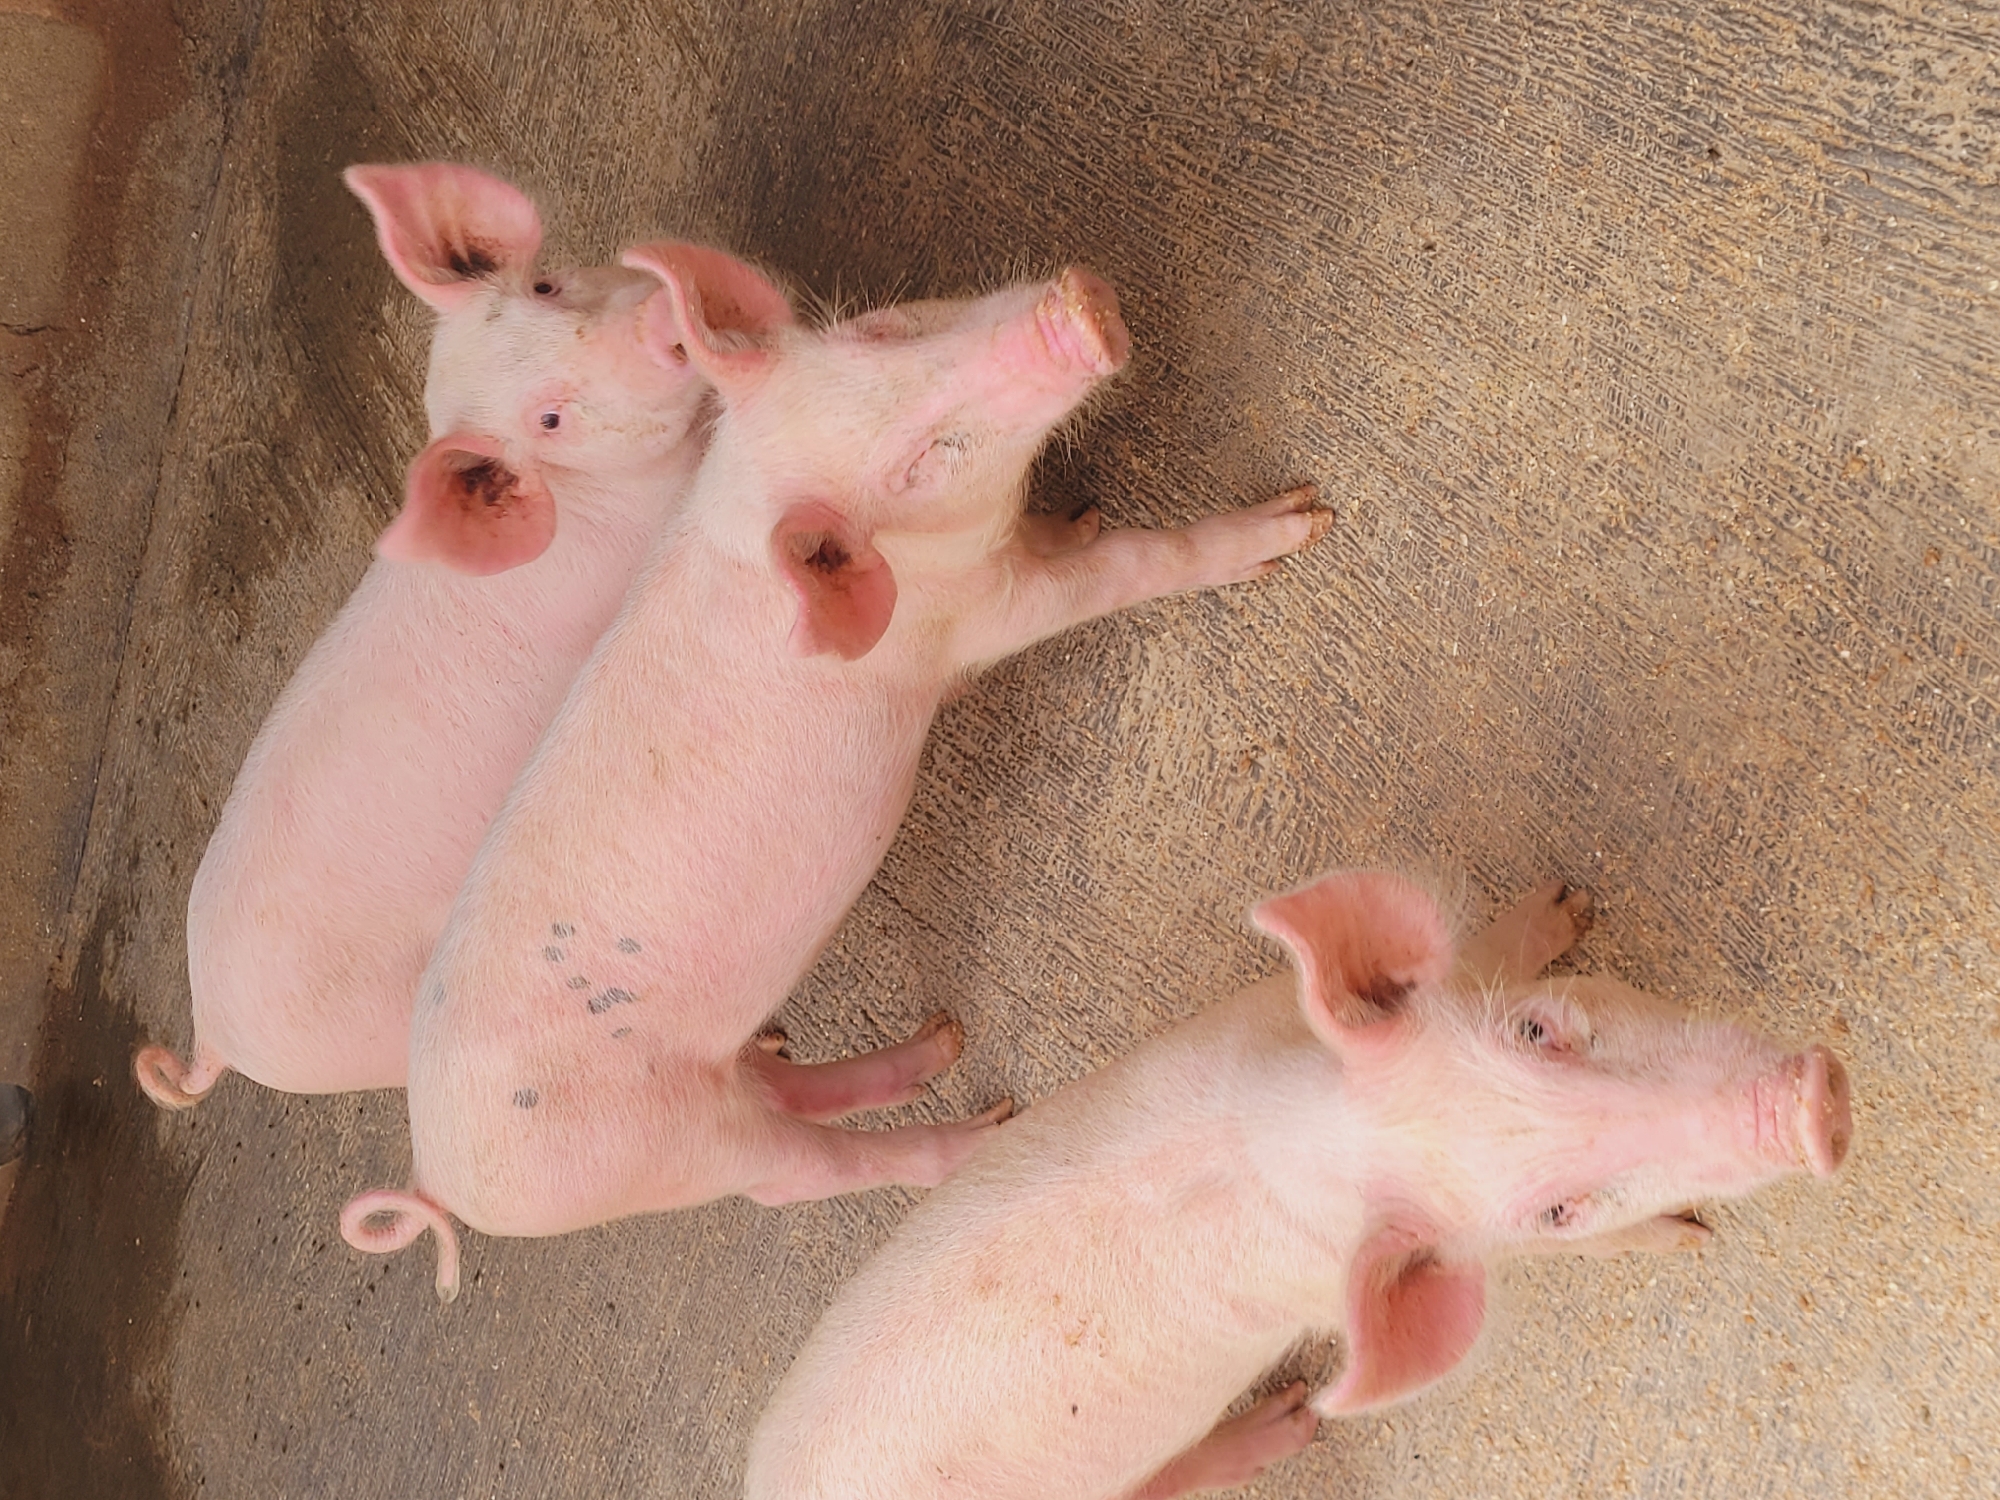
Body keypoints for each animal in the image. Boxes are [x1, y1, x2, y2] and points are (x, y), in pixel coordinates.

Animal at [339, 261, 1333, 1300]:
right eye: (925, 459)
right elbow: (1128, 565)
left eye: (883, 331)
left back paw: (938, 1041)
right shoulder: (977, 612)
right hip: (662, 1146)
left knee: (787, 1088)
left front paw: (1084, 513)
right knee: (801, 1172)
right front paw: (1303, 519)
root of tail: (439, 1174)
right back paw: (989, 1124)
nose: (1076, 309)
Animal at [745, 872, 1854, 1500]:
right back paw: (1289, 1424)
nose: (1810, 1104)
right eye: (1553, 1209)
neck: (1310, 1137)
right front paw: (1692, 1238)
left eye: (1539, 1027)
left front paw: (1569, 902)